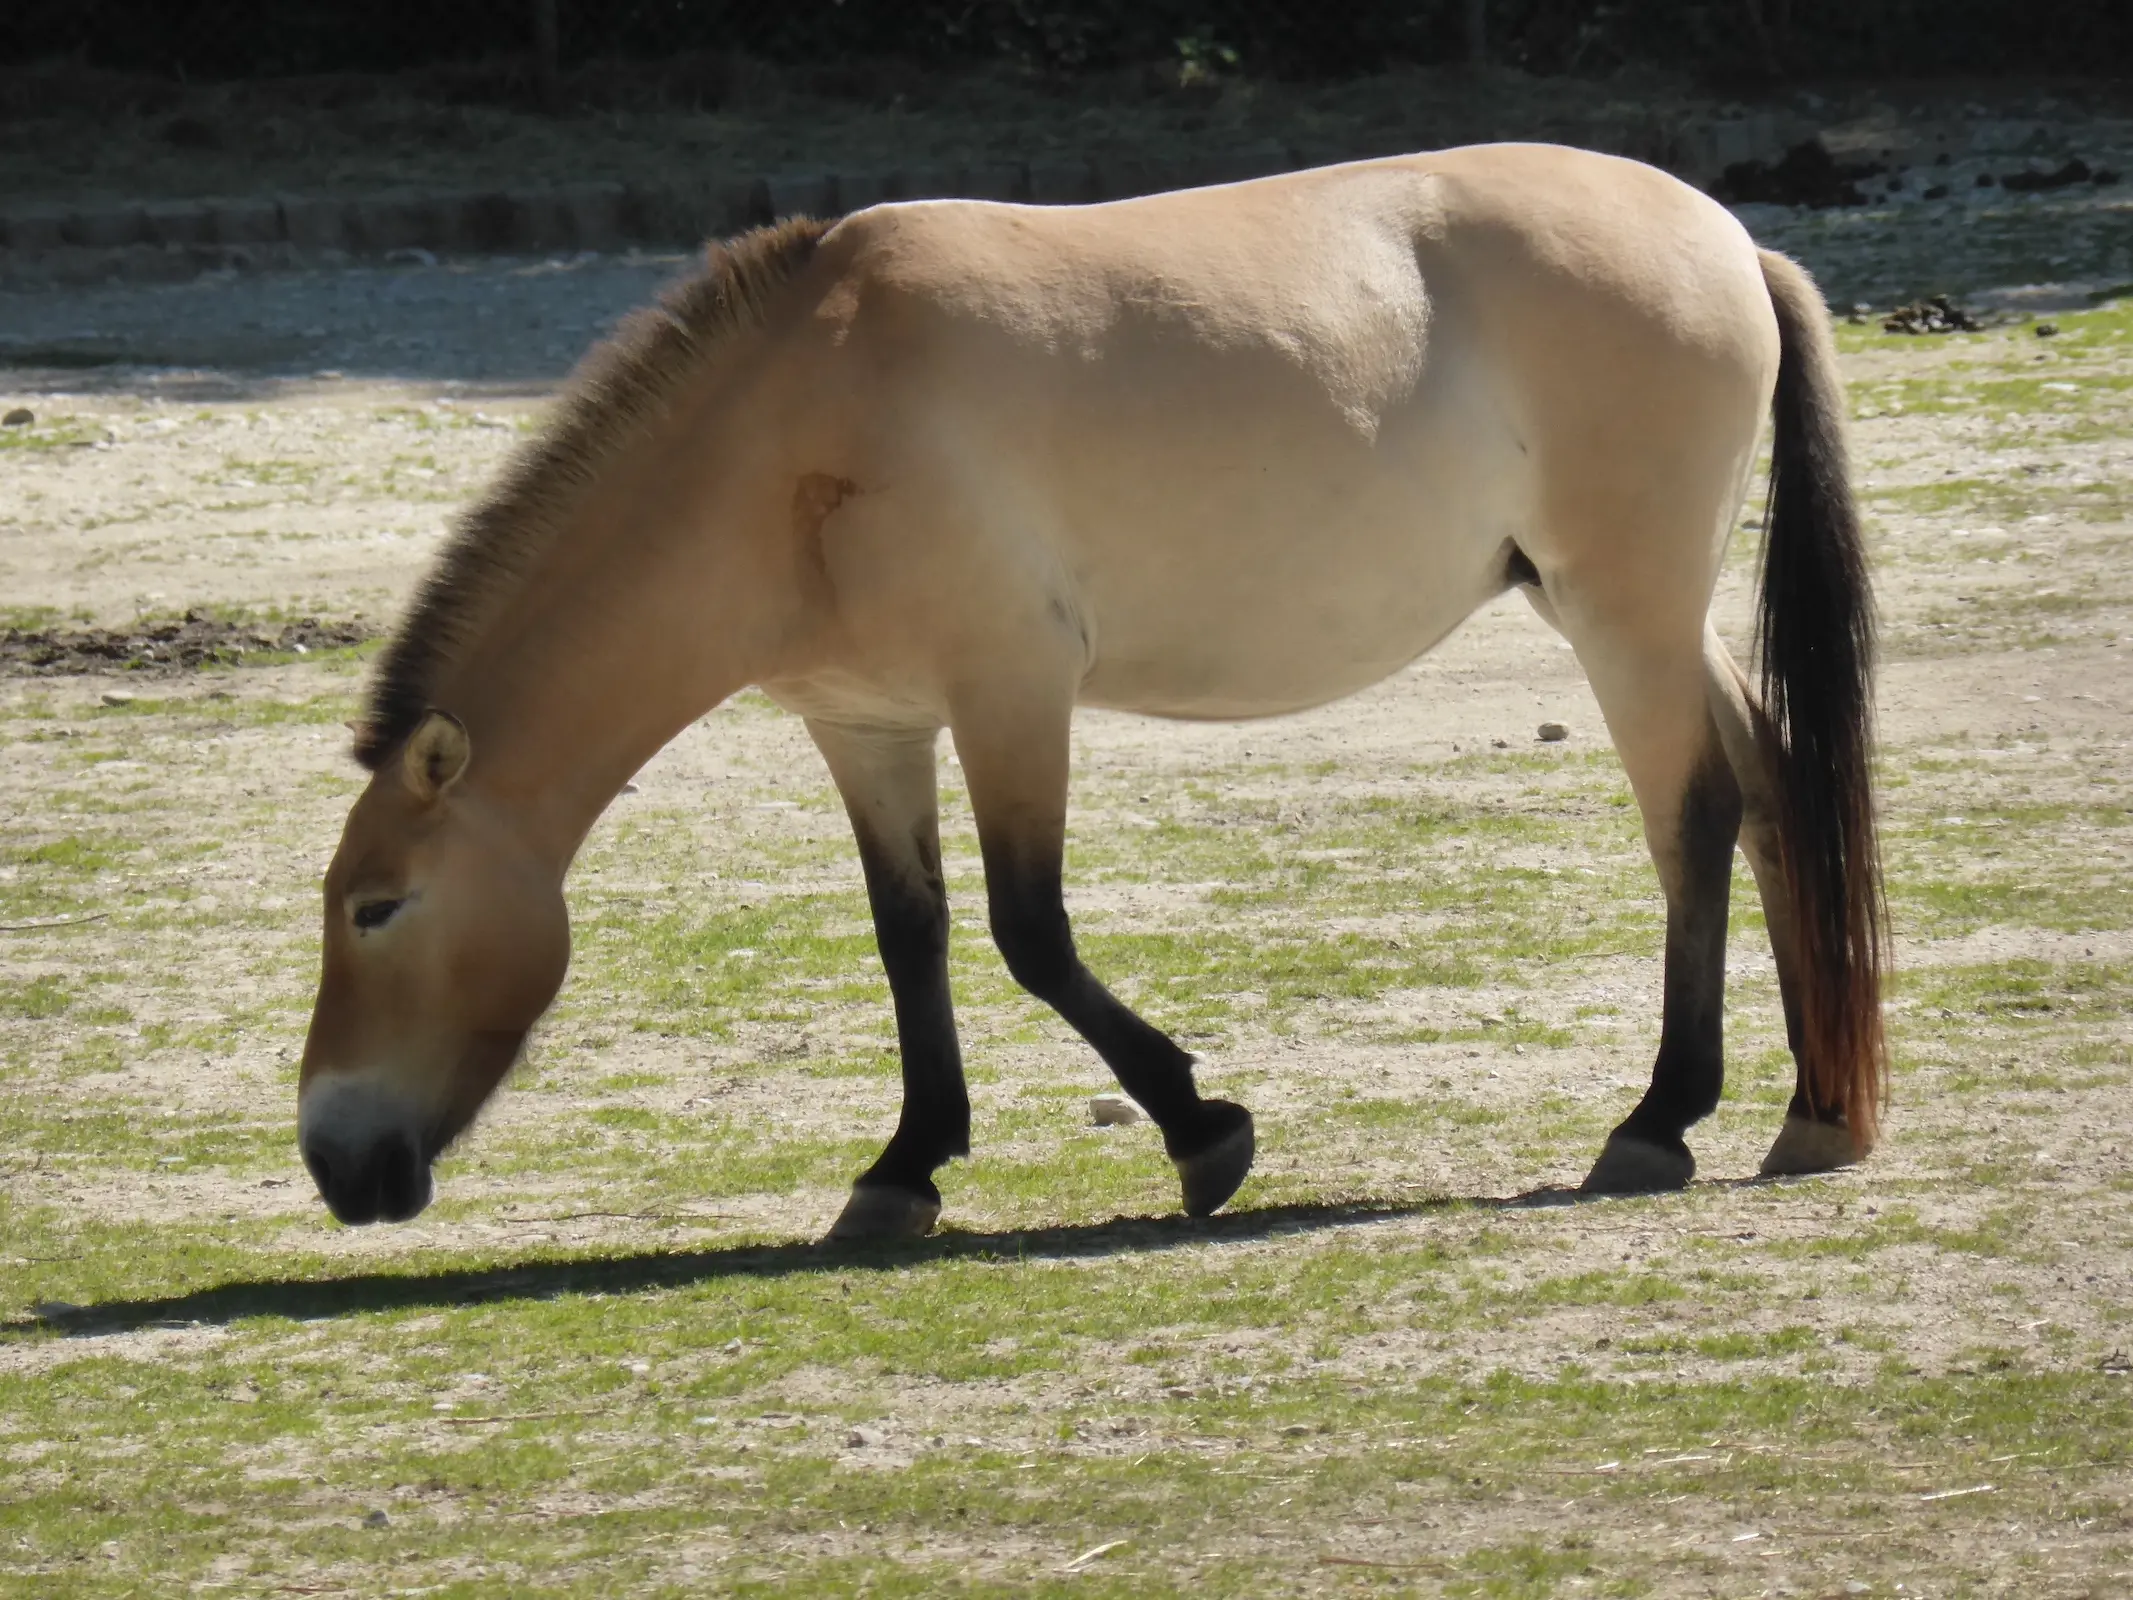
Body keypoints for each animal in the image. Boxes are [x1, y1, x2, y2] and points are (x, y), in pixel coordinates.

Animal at [296, 140, 1885, 1237]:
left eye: (379, 908)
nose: (334, 1159)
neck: (800, 432)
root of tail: (1730, 241)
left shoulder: (1011, 692)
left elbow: (1029, 932)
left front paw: (1203, 1130)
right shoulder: (867, 723)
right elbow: (913, 938)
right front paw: (903, 1170)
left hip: (1624, 615)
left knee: (1692, 818)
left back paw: (1659, 1122)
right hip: (1637, 616)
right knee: (1772, 790)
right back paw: (1813, 1113)